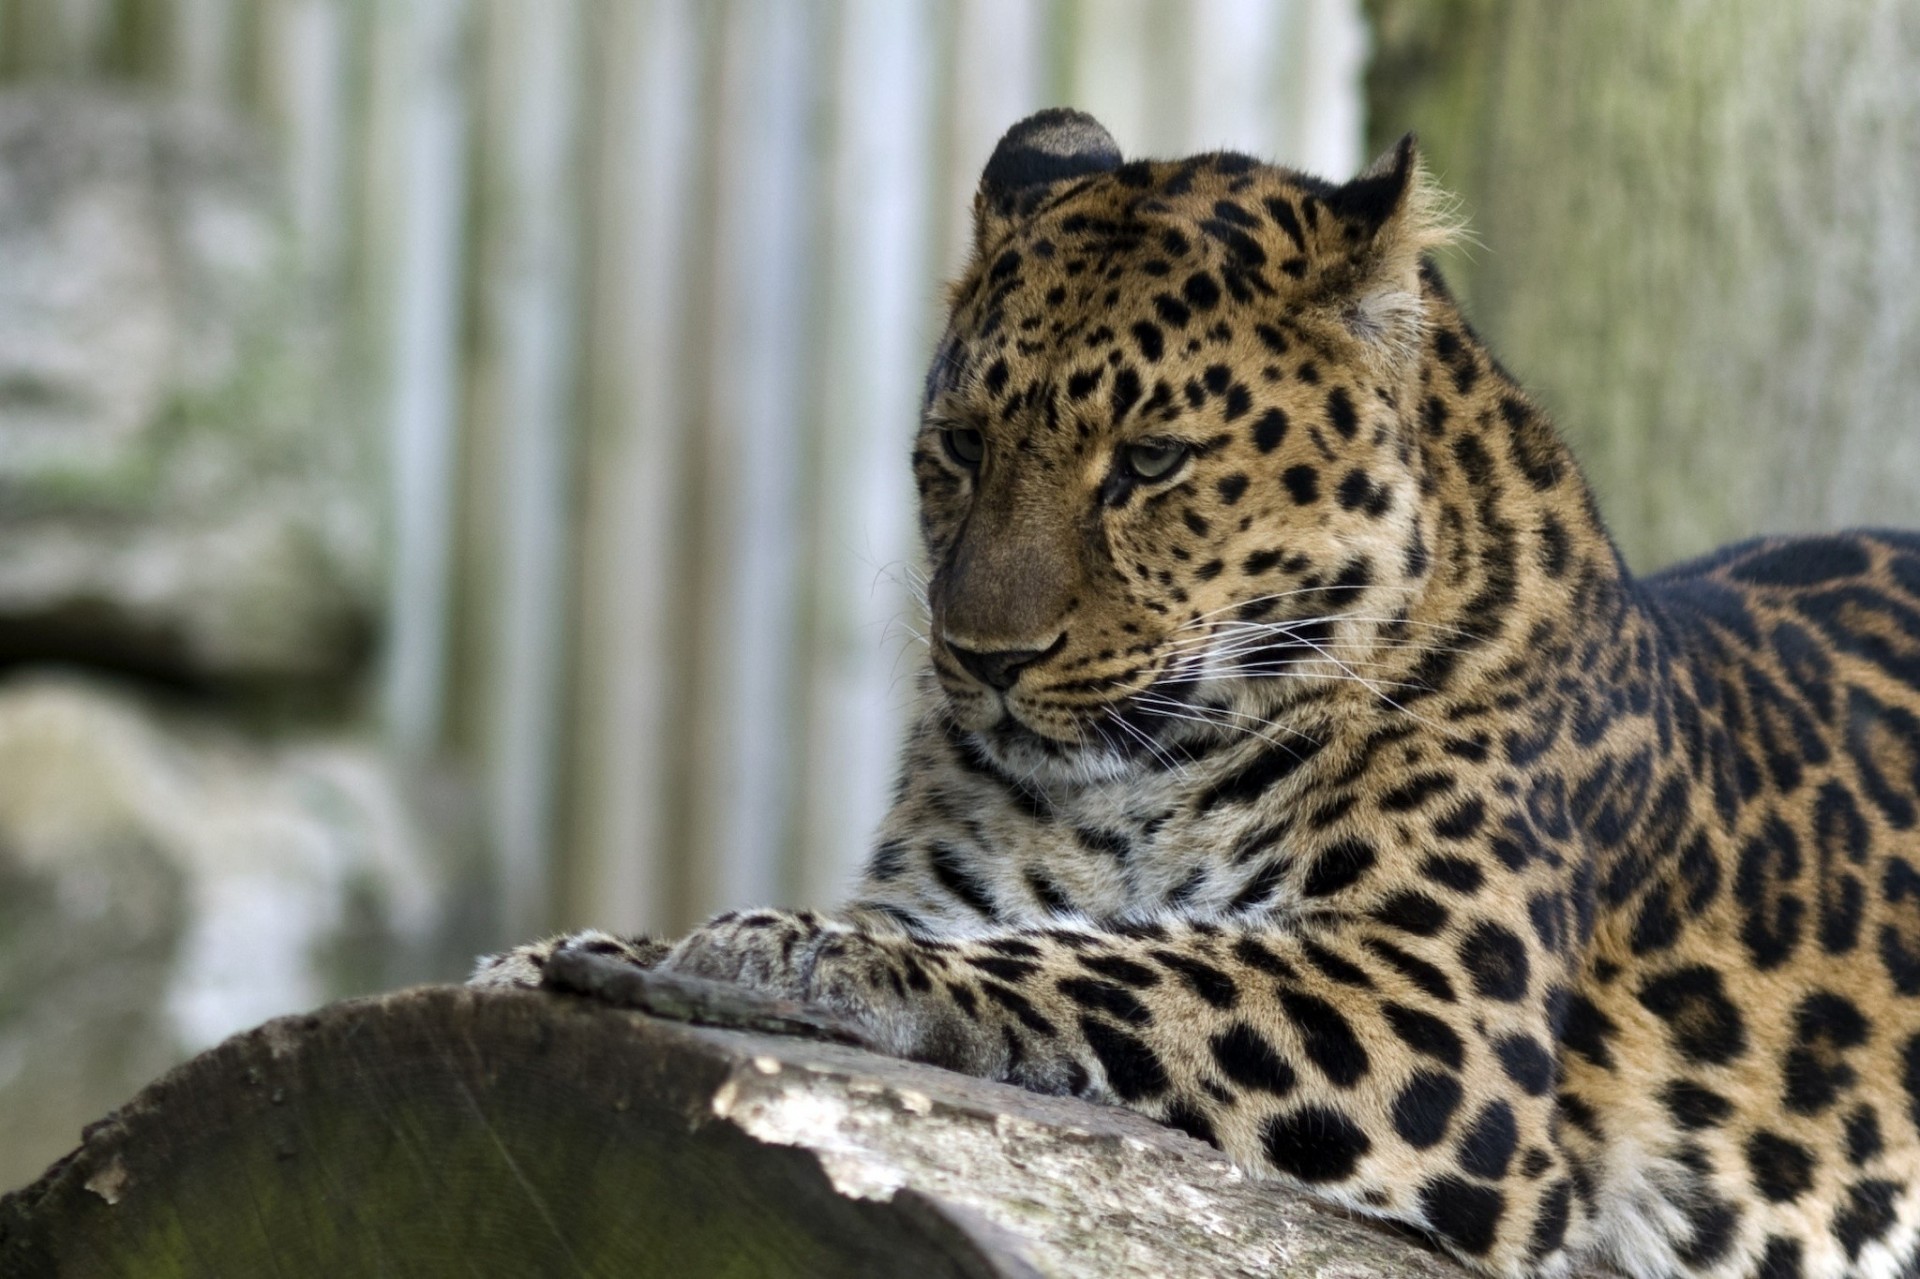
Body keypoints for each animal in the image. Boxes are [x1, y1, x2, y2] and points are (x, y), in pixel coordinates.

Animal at [472, 111, 1920, 1275]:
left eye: (1153, 460)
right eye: (961, 446)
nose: (985, 656)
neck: (1135, 778)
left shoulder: (1438, 997)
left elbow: (1117, 961)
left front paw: (789, 953)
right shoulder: (958, 881)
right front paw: (562, 953)